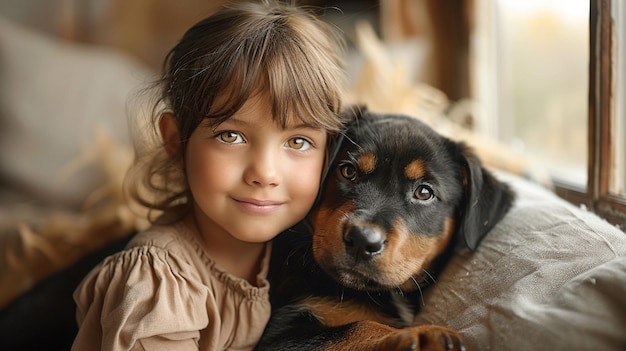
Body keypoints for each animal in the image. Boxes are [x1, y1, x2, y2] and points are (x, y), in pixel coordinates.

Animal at [254, 108, 512, 351]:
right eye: (348, 171)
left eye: (424, 192)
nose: (361, 240)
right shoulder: (282, 334)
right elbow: (358, 326)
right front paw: (425, 334)